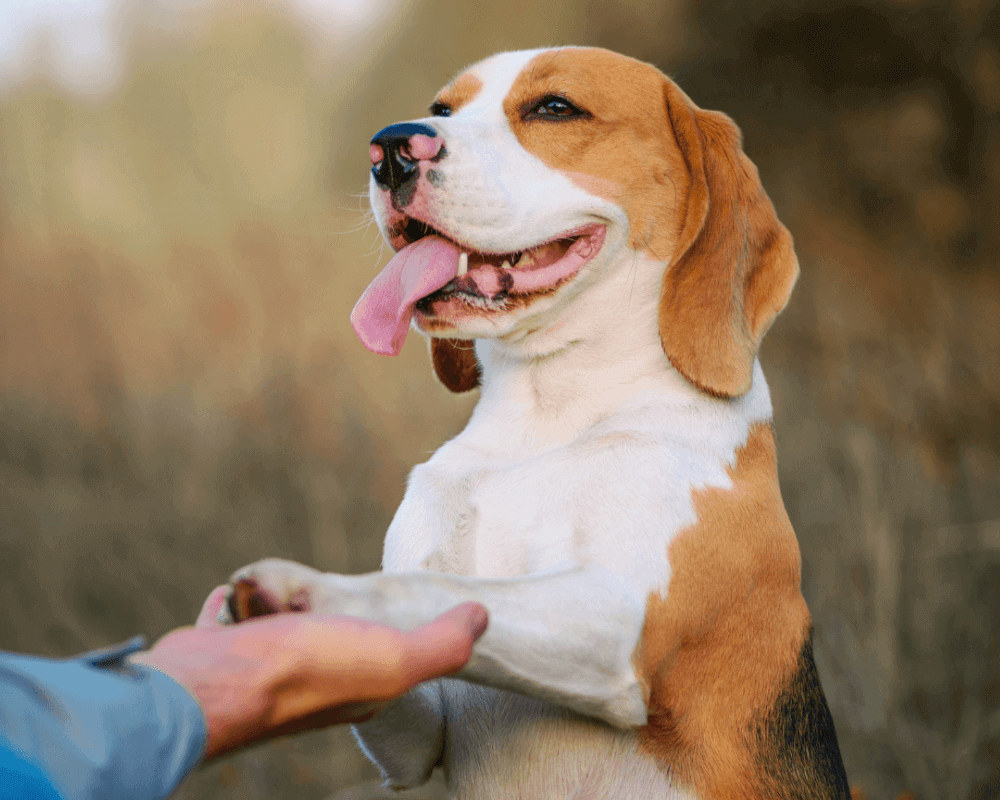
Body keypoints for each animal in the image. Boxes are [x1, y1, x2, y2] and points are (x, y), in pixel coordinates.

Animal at [229, 47, 852, 796]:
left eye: (555, 108)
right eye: (443, 109)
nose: (390, 149)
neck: (546, 413)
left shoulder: (612, 621)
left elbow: (429, 586)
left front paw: (309, 589)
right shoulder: (418, 740)